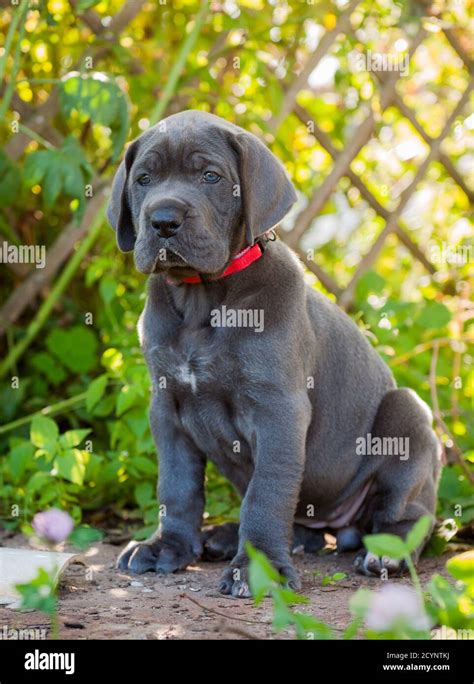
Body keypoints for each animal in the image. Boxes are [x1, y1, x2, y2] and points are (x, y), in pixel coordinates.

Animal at [107, 109, 440, 596]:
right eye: (144, 179)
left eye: (211, 177)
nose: (164, 220)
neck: (203, 299)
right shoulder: (166, 408)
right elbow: (177, 486)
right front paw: (167, 547)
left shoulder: (278, 409)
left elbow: (266, 493)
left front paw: (256, 568)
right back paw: (226, 536)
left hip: (407, 417)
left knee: (410, 514)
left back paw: (387, 553)